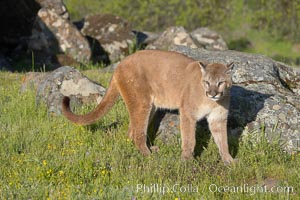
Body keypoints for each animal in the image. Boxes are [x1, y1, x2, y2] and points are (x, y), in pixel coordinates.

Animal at [62, 50, 234, 164]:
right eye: (207, 82)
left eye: (220, 82)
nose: (212, 93)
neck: (211, 101)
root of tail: (120, 64)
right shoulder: (187, 113)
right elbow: (189, 139)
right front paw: (186, 161)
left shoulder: (218, 118)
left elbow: (223, 141)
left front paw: (229, 161)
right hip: (141, 103)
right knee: (138, 133)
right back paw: (149, 156)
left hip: (150, 106)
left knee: (131, 132)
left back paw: (151, 150)